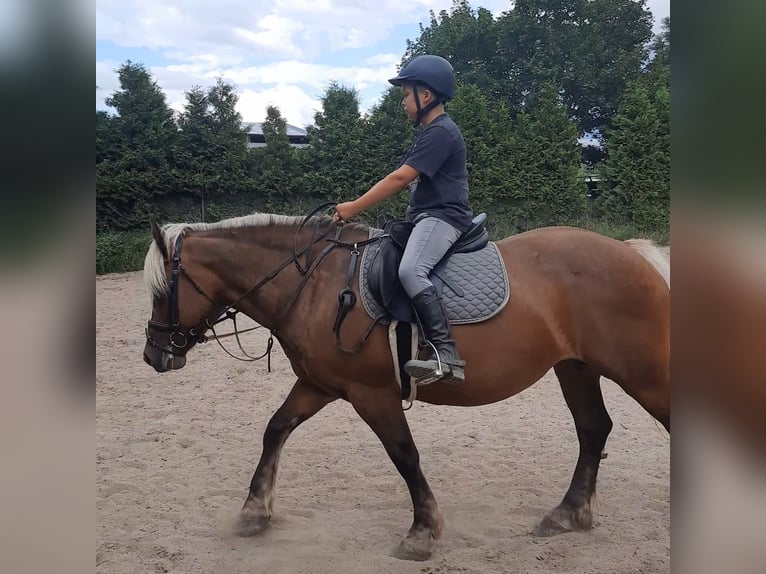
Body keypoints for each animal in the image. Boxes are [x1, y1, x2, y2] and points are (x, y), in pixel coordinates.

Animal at [141, 212, 668, 564]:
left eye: (162, 291)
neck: (316, 285)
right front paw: (254, 513)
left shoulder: (370, 393)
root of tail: (631, 253)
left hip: (642, 374)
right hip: (576, 368)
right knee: (593, 430)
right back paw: (568, 514)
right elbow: (276, 429)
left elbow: (404, 455)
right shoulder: (318, 384)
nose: (153, 355)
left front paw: (422, 532)